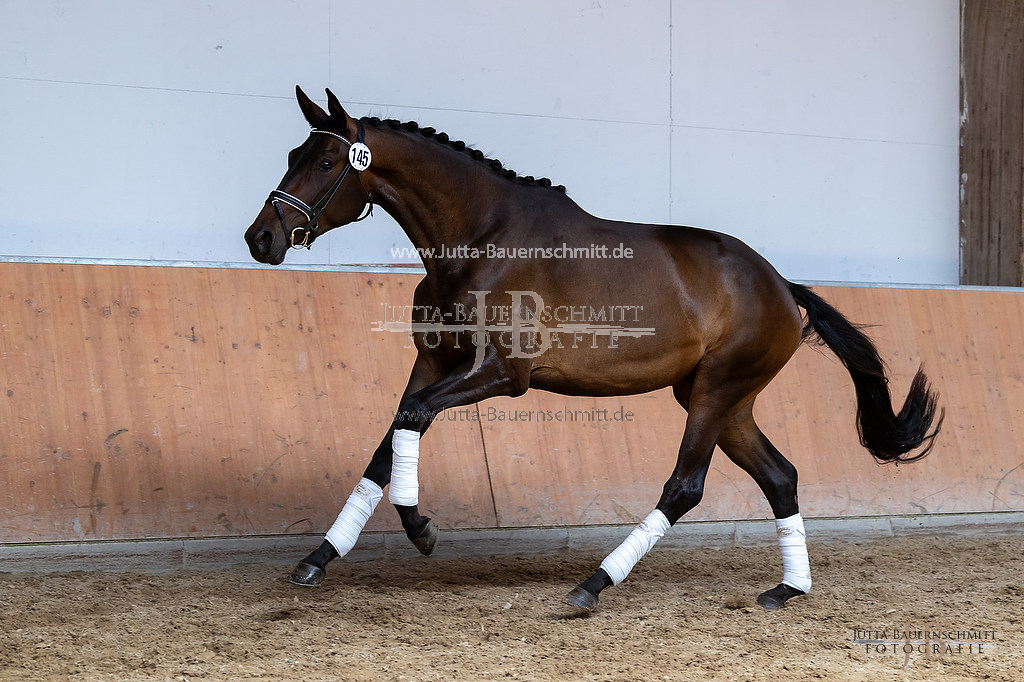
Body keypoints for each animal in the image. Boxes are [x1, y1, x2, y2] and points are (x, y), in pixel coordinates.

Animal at [241, 87, 942, 606]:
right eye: (292, 153)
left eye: (326, 163)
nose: (261, 238)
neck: (480, 236)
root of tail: (780, 284)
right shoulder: (435, 360)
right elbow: (386, 446)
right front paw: (317, 559)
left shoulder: (502, 373)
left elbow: (409, 424)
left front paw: (422, 530)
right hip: (722, 400)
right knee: (780, 476)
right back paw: (787, 589)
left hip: (718, 391)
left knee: (686, 486)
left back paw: (594, 584)